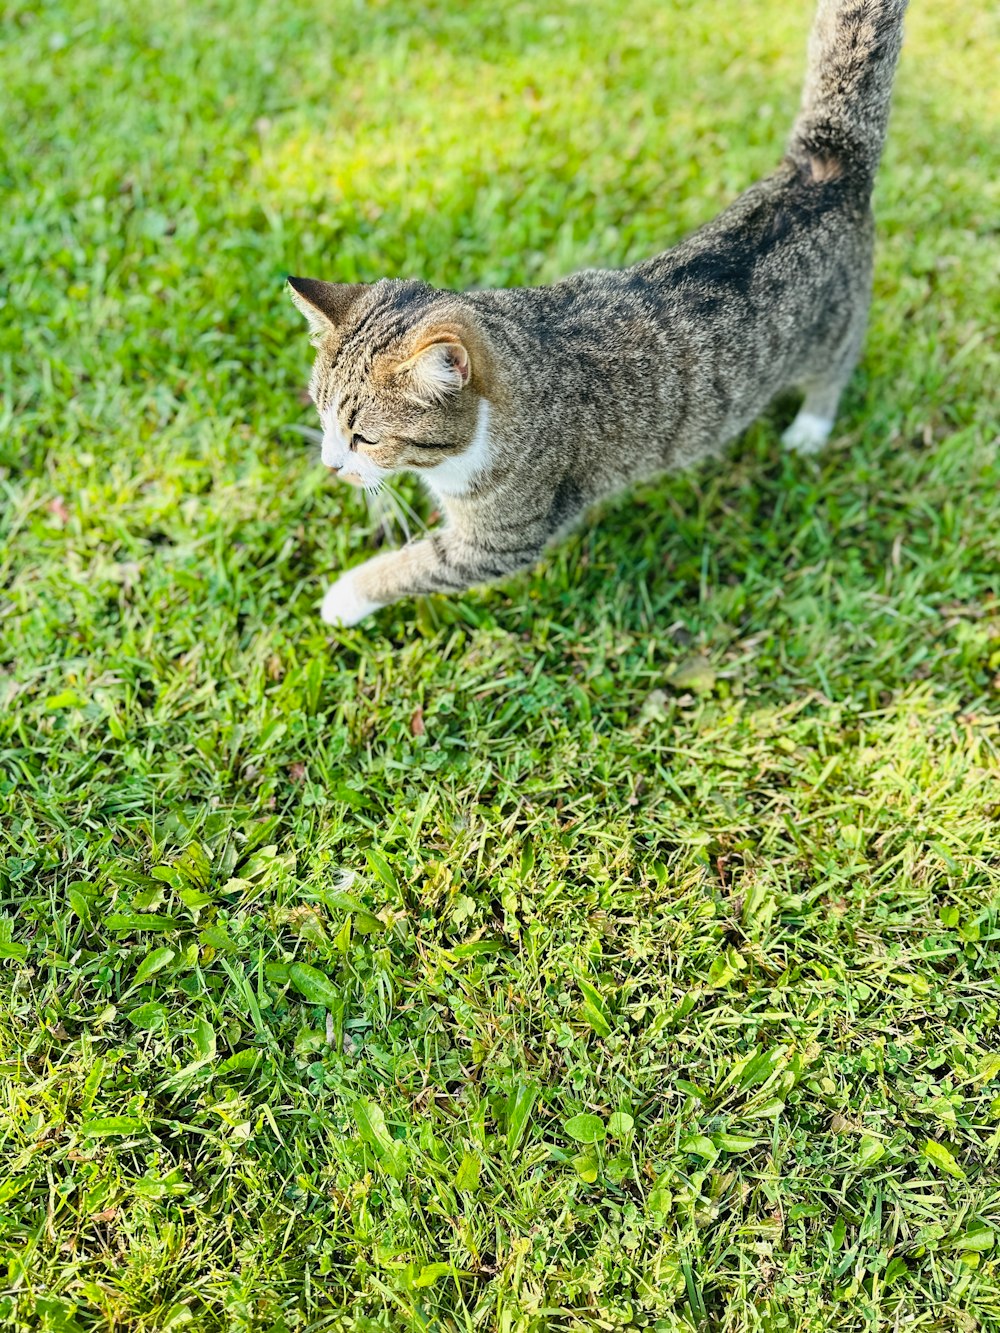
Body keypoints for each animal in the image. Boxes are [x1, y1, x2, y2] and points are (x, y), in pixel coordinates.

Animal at [288, 0, 906, 626]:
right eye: (321, 416)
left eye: (365, 438)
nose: (330, 465)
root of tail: (823, 167)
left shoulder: (504, 538)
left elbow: (415, 565)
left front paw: (344, 597)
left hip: (837, 328)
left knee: (835, 371)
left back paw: (809, 428)